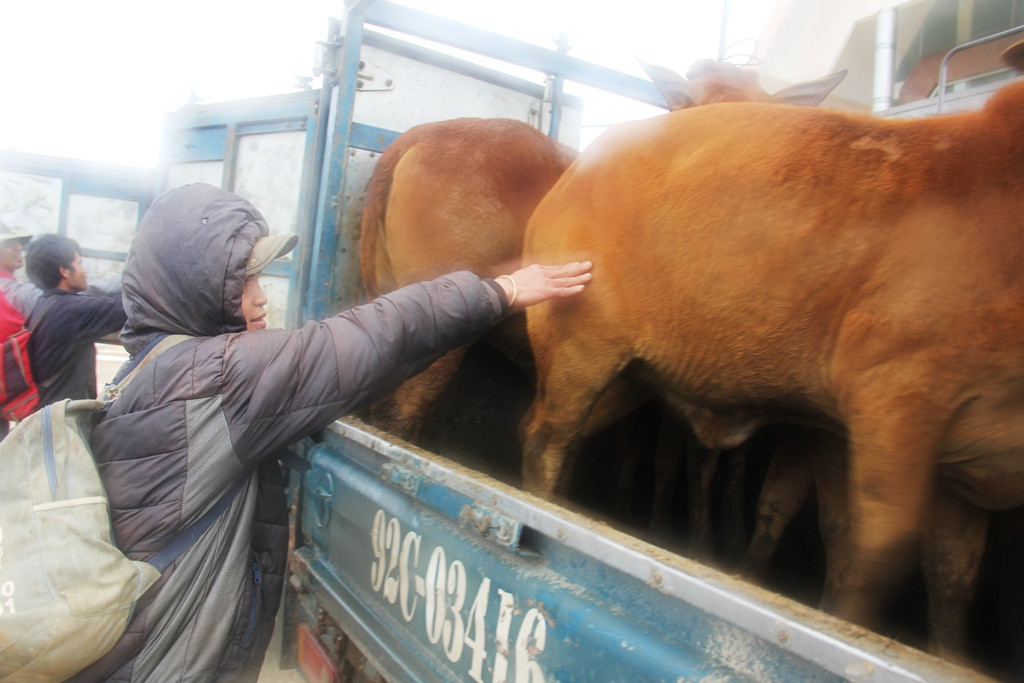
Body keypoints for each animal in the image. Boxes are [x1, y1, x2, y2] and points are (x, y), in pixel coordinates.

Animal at [524, 70, 1024, 643]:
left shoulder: (959, 462)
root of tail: (571, 177)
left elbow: (951, 575)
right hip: (579, 354)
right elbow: (873, 554)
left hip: (627, 377)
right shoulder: (896, 398)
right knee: (546, 442)